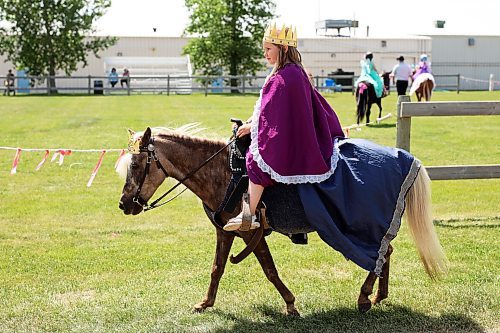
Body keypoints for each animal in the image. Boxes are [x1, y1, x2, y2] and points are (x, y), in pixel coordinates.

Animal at [118, 126, 450, 316]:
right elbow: (217, 268)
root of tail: (405, 158)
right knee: (386, 252)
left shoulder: (251, 234)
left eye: (136, 164)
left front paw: (290, 304)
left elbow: (269, 270)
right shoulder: (225, 232)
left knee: (381, 253)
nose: (124, 204)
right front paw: (205, 303)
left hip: (365, 225)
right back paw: (378, 295)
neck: (225, 172)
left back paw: (365, 297)